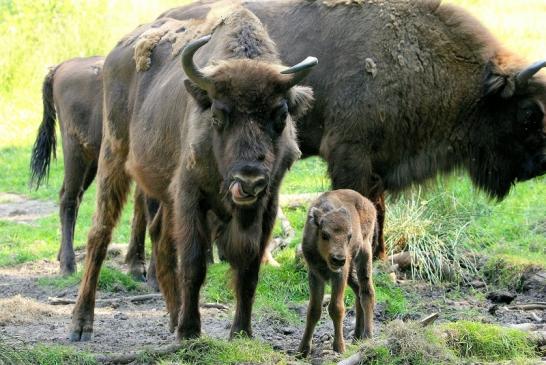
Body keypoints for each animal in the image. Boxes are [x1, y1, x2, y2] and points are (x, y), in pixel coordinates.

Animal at [29, 57, 157, 280]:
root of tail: (60, 67)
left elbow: (141, 211)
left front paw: (138, 268)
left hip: (93, 160)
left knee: (71, 195)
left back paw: (61, 256)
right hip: (75, 151)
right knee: (69, 198)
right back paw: (68, 266)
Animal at [69, 7, 314, 340]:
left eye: (281, 114)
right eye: (218, 115)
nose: (249, 180)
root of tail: (116, 53)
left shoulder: (267, 203)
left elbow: (249, 270)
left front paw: (242, 332)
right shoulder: (190, 194)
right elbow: (194, 264)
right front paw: (190, 331)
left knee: (160, 241)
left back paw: (173, 318)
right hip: (113, 154)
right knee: (100, 234)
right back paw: (82, 324)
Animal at [162, 0, 544, 258]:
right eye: (528, 114)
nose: (538, 166)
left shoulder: (379, 165)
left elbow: (378, 209)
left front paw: (381, 255)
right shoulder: (350, 154)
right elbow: (359, 205)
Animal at [298, 189, 374, 354]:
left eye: (349, 236)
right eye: (325, 235)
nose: (338, 259)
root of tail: (368, 202)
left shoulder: (339, 275)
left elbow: (336, 308)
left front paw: (339, 347)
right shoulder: (315, 275)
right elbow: (313, 310)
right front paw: (303, 349)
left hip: (363, 254)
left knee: (367, 292)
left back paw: (368, 335)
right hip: (350, 271)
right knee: (358, 292)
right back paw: (357, 336)